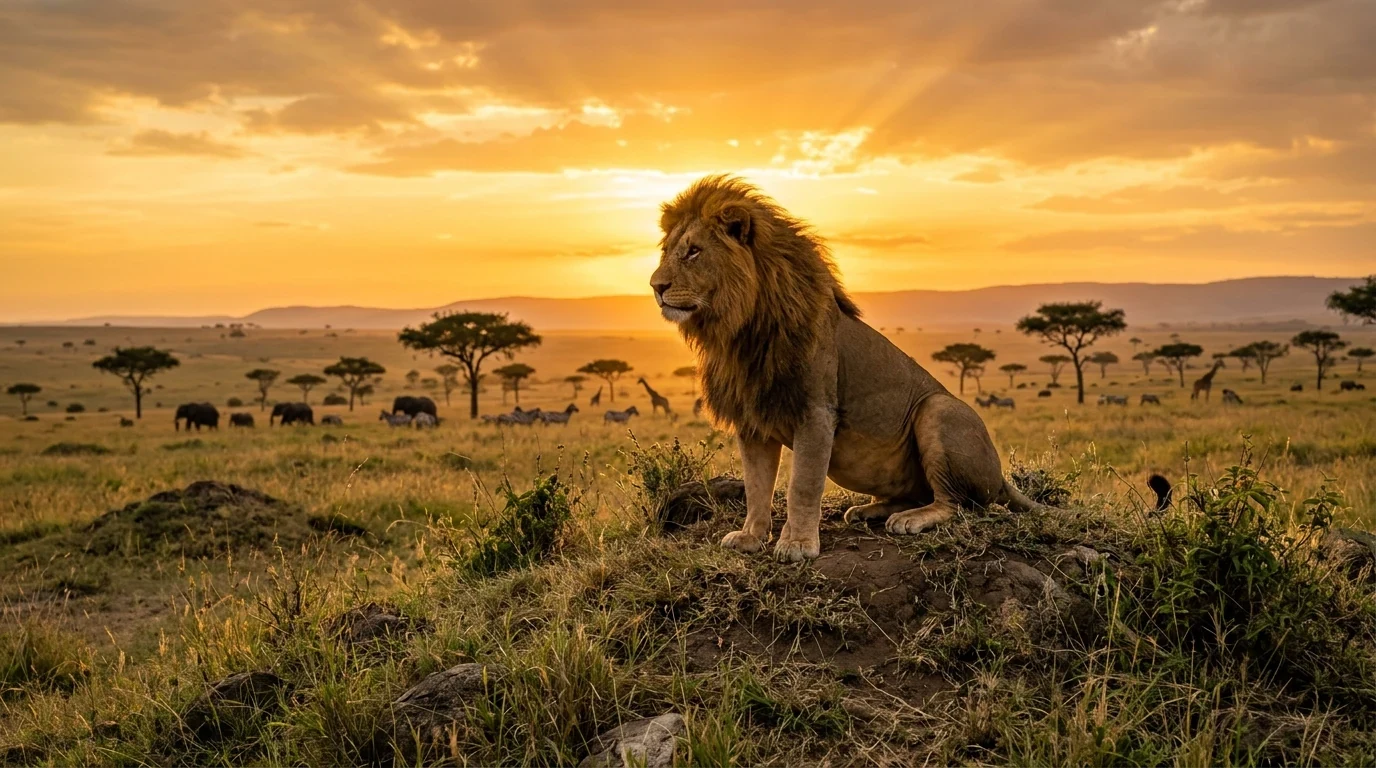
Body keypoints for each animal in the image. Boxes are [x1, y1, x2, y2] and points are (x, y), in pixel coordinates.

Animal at [650, 175, 1042, 561]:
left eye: (694, 251)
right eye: (667, 251)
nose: (656, 286)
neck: (740, 329)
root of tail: (1001, 477)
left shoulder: (816, 411)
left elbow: (803, 484)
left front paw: (798, 544)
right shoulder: (752, 418)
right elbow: (757, 486)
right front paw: (751, 536)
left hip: (938, 408)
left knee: (955, 502)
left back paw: (911, 519)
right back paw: (870, 510)